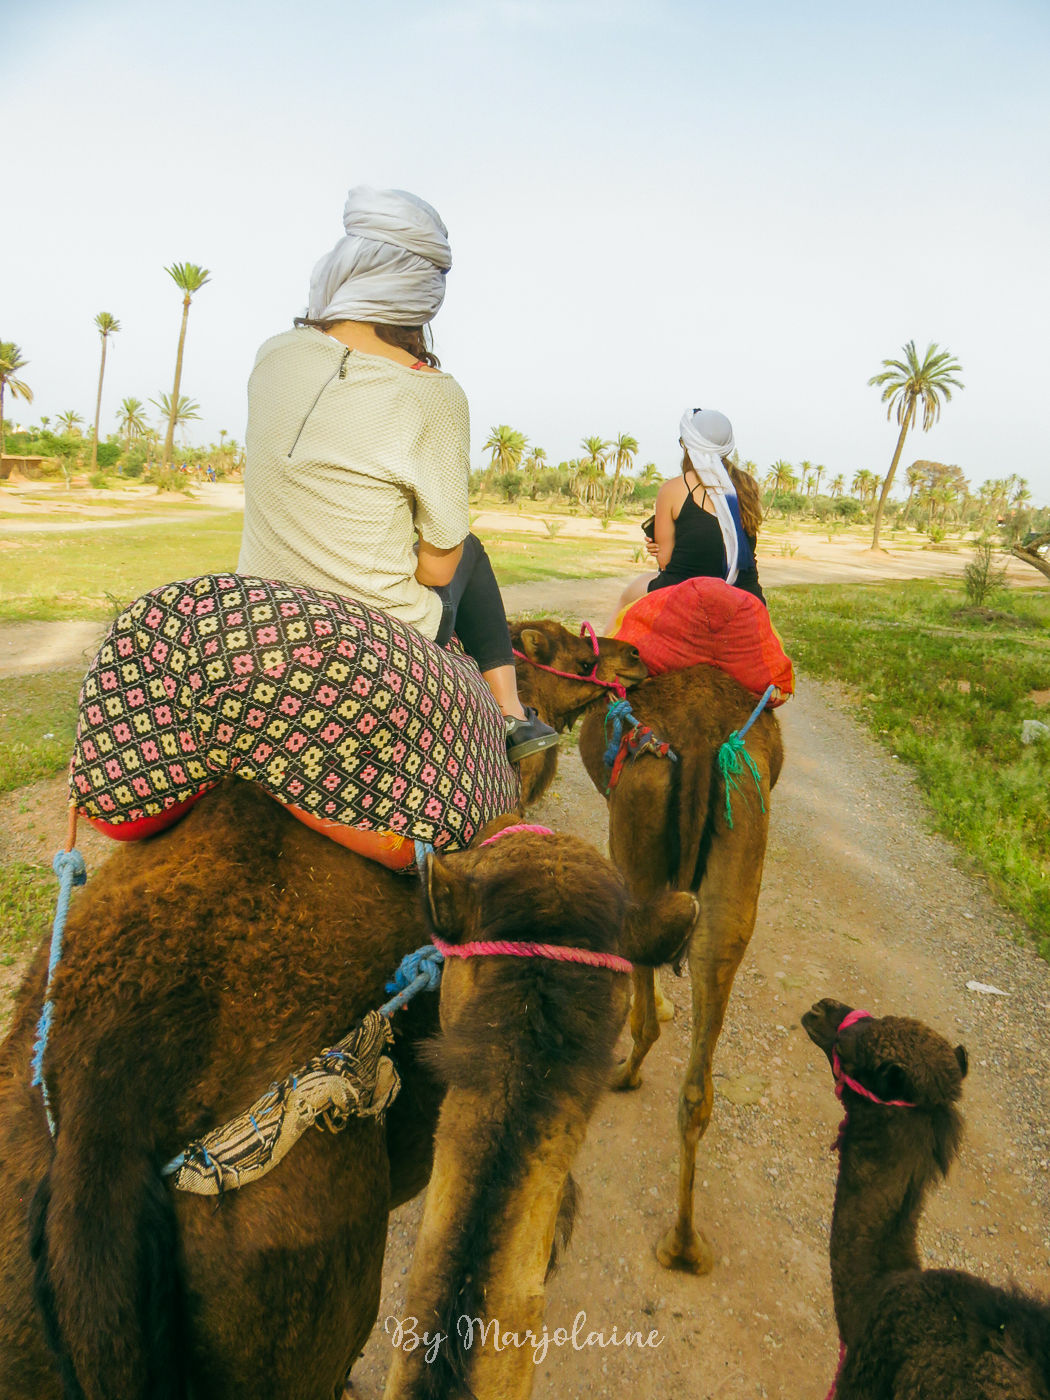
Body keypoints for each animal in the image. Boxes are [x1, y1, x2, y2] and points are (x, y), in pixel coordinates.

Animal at [509, 618, 784, 1276]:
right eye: (584, 658)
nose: (633, 656)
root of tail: (705, 740)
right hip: (741, 836)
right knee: (698, 1071)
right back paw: (685, 1244)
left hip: (636, 830)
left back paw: (624, 1073)